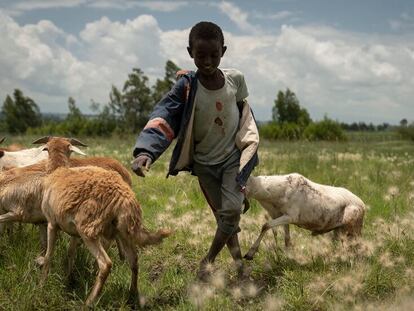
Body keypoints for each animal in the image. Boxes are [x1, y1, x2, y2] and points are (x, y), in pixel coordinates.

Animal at [34, 136, 170, 308]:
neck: (58, 170)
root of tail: (124, 198)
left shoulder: (52, 223)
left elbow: (48, 255)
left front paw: (41, 285)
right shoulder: (73, 231)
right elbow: (71, 253)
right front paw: (69, 278)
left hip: (89, 230)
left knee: (106, 264)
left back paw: (89, 302)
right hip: (123, 230)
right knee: (134, 260)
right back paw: (132, 295)